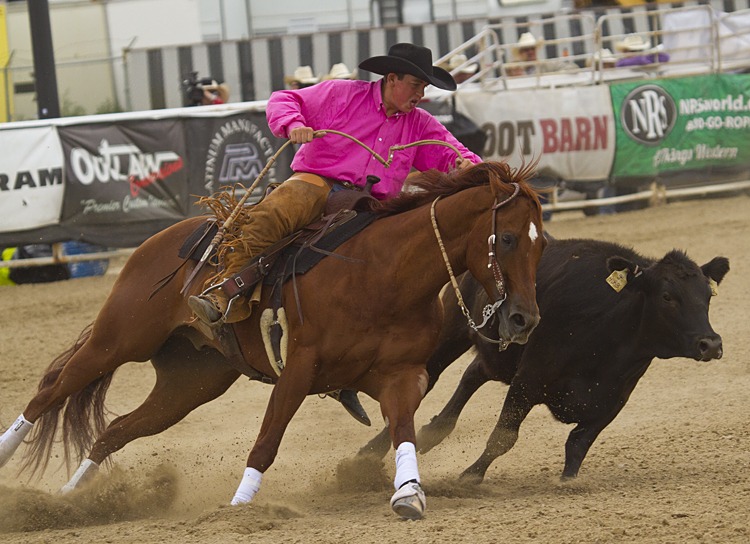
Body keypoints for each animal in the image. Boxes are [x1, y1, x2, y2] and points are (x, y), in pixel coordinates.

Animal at [0, 161, 545, 520]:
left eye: (541, 244)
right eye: (508, 239)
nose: (525, 320)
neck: (382, 273)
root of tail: (165, 237)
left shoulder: (401, 376)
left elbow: (404, 431)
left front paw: (408, 492)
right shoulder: (299, 368)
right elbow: (267, 441)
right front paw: (239, 506)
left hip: (188, 385)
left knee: (113, 431)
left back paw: (71, 500)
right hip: (119, 339)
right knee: (51, 390)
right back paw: (11, 457)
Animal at [357, 238, 730, 482]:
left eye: (707, 295)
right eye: (667, 296)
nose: (710, 343)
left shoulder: (613, 399)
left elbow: (577, 444)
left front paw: (567, 481)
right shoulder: (528, 380)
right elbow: (503, 436)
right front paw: (470, 476)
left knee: (473, 374)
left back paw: (433, 431)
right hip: (452, 330)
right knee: (426, 380)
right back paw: (368, 455)